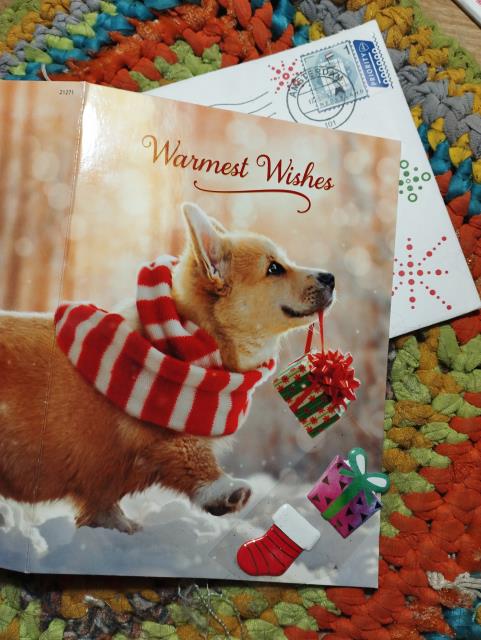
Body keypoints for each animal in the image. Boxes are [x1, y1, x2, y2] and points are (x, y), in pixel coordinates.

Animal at [0, 203, 335, 534]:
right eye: (274, 268)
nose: (330, 277)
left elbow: (104, 506)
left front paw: (122, 527)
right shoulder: (150, 435)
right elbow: (189, 455)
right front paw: (225, 491)